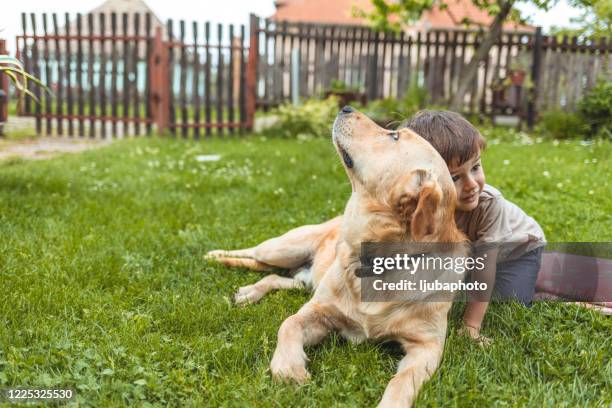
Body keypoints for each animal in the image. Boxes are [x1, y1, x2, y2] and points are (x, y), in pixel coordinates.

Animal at [208, 107, 466, 406]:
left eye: (394, 136)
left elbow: (402, 383)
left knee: (271, 275)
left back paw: (249, 290)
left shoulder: (427, 346)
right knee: (254, 254)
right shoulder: (319, 312)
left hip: (301, 278)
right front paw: (288, 367)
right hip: (282, 249)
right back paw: (217, 258)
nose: (346, 108)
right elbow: (288, 323)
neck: (376, 262)